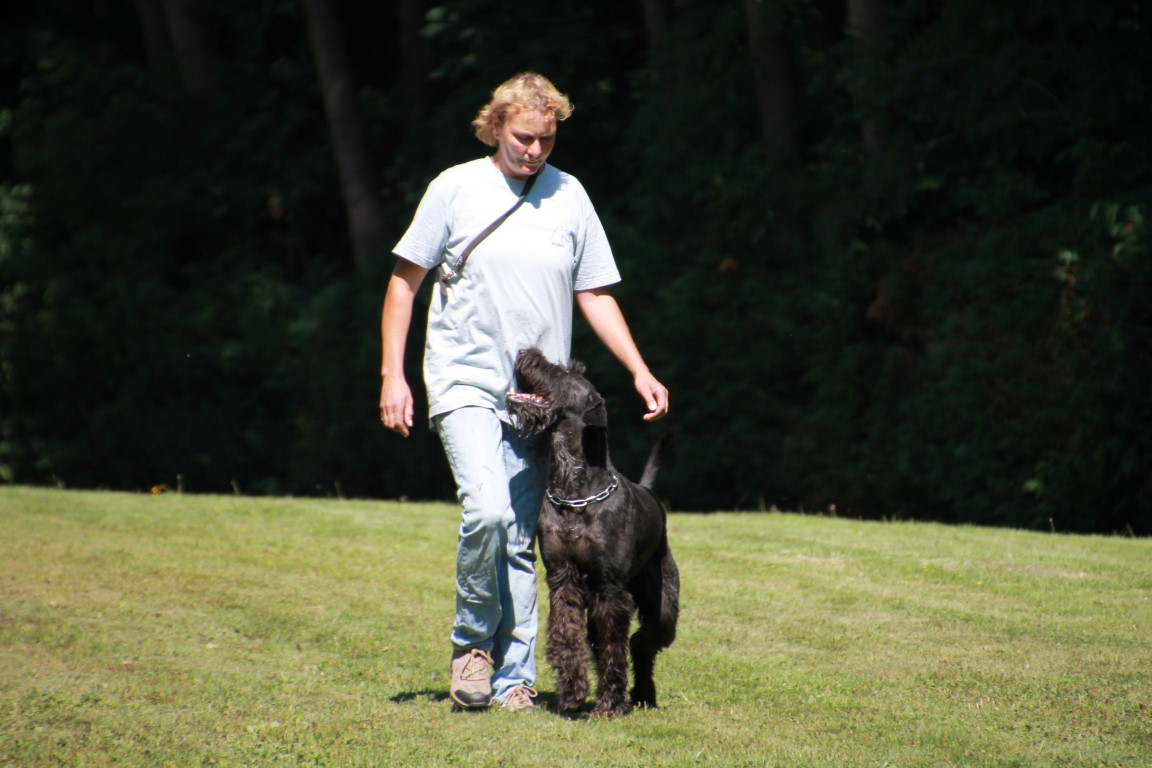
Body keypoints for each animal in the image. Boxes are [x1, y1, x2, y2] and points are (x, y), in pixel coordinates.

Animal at [506, 347, 679, 717]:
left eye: (563, 373)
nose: (527, 352)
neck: (574, 488)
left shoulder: (610, 588)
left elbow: (614, 646)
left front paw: (610, 703)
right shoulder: (564, 578)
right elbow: (568, 634)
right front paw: (573, 691)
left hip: (663, 603)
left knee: (643, 642)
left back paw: (643, 693)